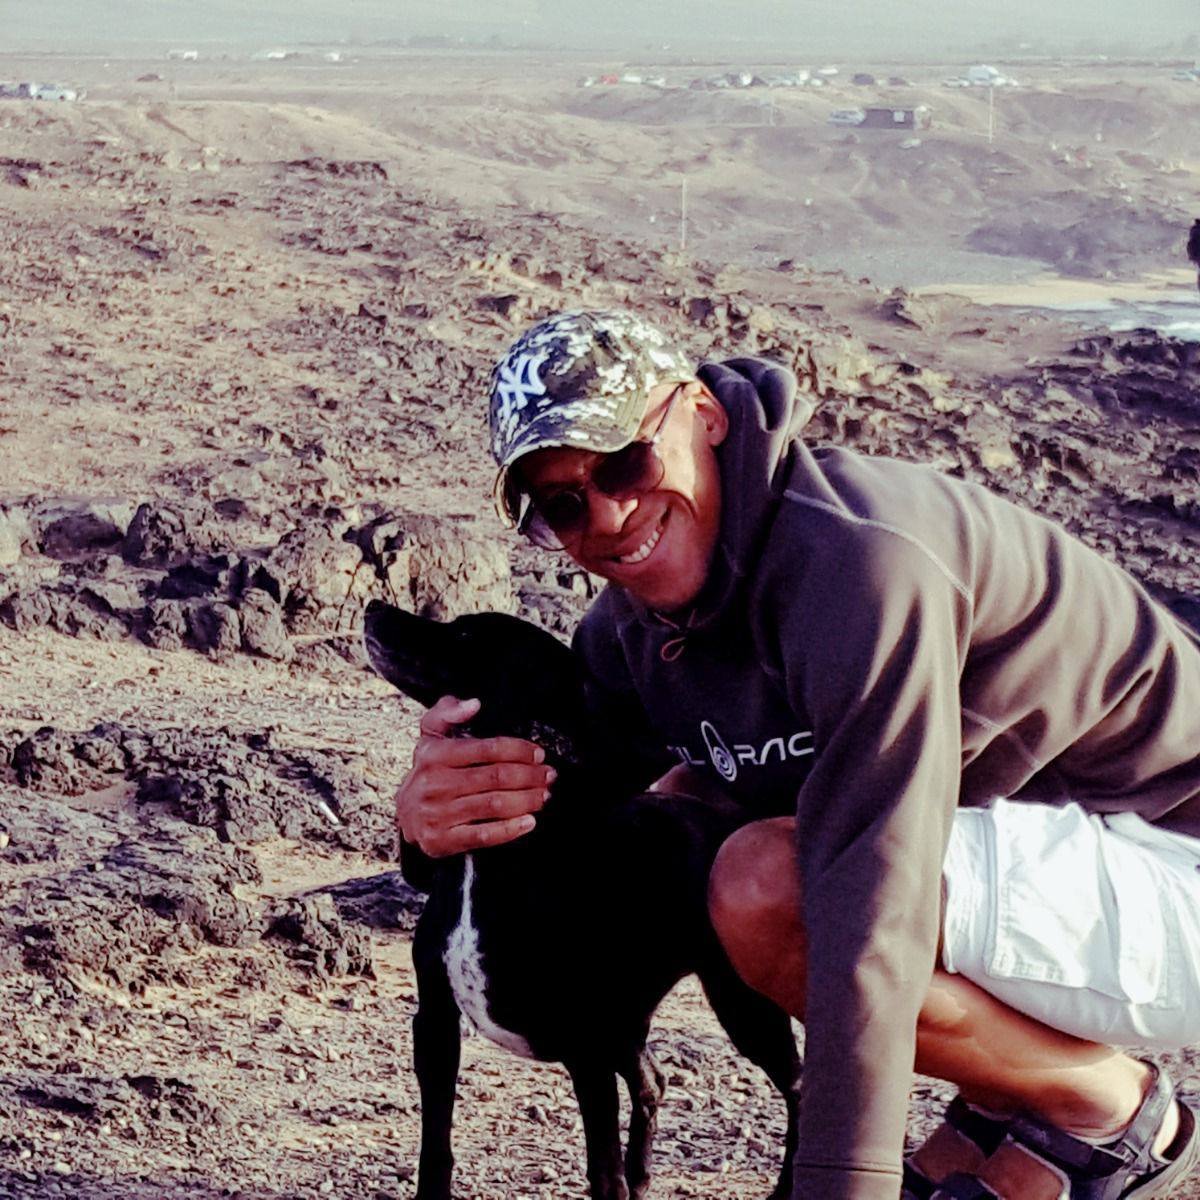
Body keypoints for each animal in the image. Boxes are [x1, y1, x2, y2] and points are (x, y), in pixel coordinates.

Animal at [363, 600, 801, 1200]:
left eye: (467, 634)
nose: (374, 606)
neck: (495, 855)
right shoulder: (435, 1023)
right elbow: (435, 1150)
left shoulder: (587, 1052)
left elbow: (601, 1173)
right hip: (629, 1020)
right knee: (653, 1080)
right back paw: (643, 1173)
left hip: (740, 1006)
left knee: (798, 1088)